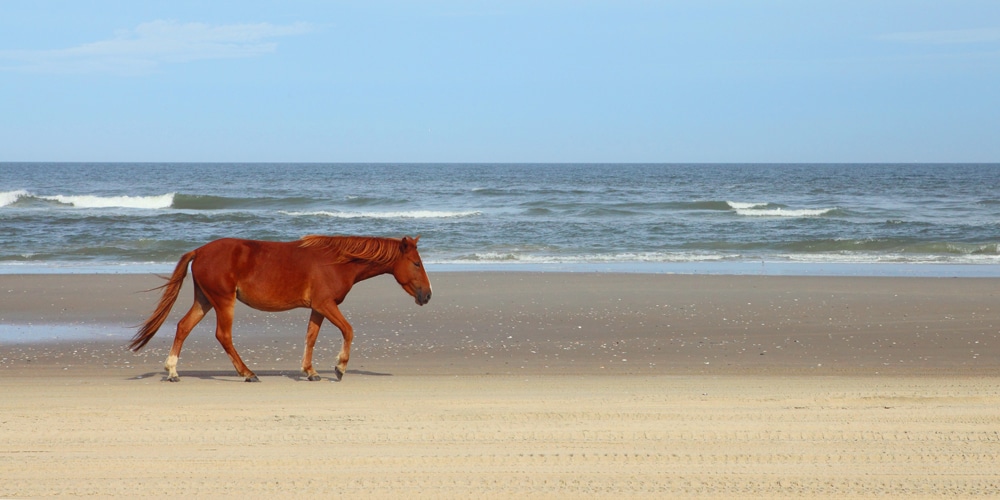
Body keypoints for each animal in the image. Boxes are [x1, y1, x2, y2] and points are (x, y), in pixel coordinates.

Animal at [128, 234, 430, 382]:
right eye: (416, 263)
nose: (427, 295)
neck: (338, 261)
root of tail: (200, 251)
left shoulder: (318, 308)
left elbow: (311, 337)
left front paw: (310, 372)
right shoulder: (326, 304)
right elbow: (348, 330)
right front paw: (339, 368)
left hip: (204, 300)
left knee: (183, 327)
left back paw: (173, 372)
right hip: (223, 301)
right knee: (223, 336)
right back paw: (247, 374)